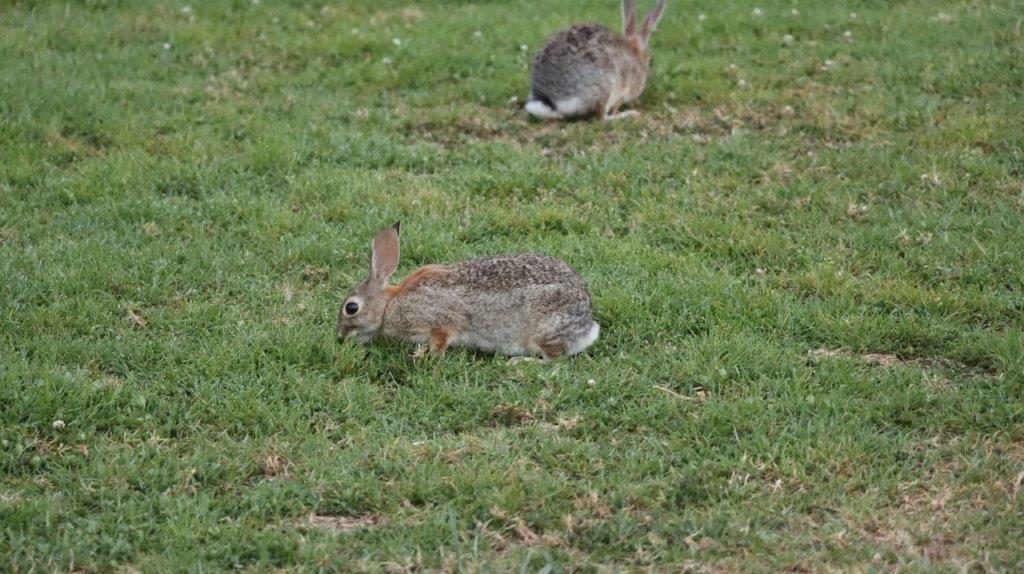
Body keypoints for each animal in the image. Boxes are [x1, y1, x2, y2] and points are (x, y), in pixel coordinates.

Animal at [335, 223, 598, 358]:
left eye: (351, 308)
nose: (339, 337)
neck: (389, 306)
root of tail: (588, 326)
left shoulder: (440, 322)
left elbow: (441, 340)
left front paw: (425, 357)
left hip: (541, 333)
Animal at [524, 0, 667, 119]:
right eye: (650, 61)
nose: (649, 67)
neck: (635, 55)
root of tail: (551, 98)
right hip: (606, 85)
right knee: (601, 117)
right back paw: (626, 115)